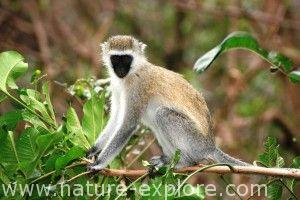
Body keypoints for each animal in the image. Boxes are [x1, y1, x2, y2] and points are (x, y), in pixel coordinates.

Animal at [86, 35, 248, 170]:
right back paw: (166, 159)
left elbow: (127, 125)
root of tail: (210, 146)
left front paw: (98, 163)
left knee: (163, 114)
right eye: (115, 59)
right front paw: (93, 150)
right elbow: (115, 119)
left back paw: (184, 162)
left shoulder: (138, 87)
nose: (120, 70)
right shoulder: (116, 86)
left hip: (194, 142)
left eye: (126, 59)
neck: (131, 73)